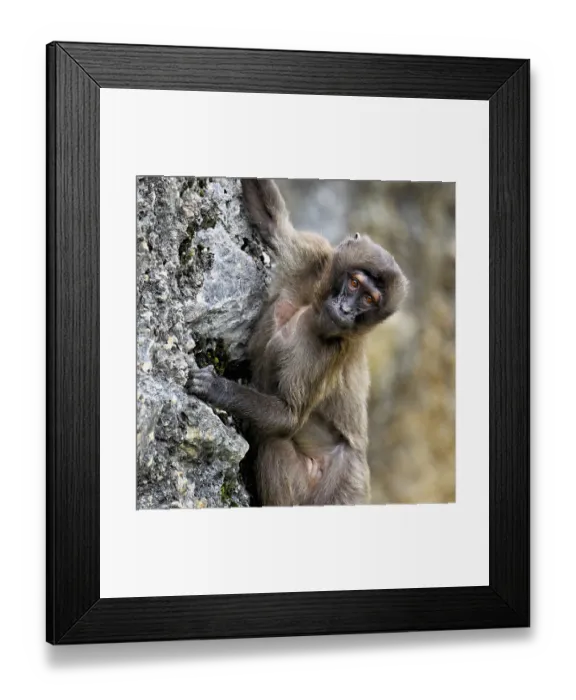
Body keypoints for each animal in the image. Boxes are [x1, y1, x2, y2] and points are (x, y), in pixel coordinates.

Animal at [186, 178, 408, 506]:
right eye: (355, 282)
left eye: (369, 299)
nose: (346, 310)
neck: (314, 308)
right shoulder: (311, 253)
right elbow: (270, 219)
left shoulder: (327, 351)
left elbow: (288, 416)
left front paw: (217, 389)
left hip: (342, 483)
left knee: (273, 440)